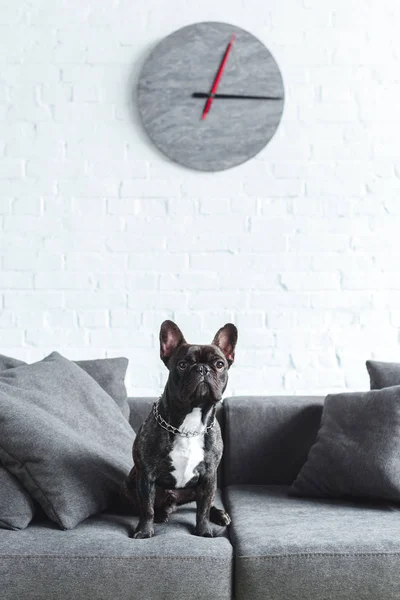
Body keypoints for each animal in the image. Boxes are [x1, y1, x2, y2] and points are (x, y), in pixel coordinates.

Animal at [124, 318, 238, 540]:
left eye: (219, 364)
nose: (202, 369)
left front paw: (203, 531)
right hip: (131, 483)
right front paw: (144, 531)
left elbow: (203, 509)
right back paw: (162, 513)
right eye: (183, 365)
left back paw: (220, 514)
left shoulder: (209, 477)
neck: (190, 424)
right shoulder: (146, 475)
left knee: (206, 503)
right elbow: (146, 508)